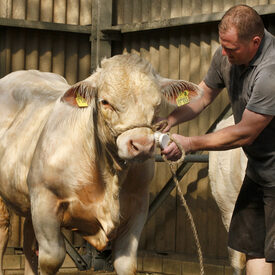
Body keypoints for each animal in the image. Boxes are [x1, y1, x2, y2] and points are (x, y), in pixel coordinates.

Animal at [0, 54, 203, 275]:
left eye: (157, 104)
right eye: (105, 102)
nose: (141, 145)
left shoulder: (138, 205)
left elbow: (126, 262)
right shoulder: (45, 200)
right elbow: (51, 259)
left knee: (29, 245)